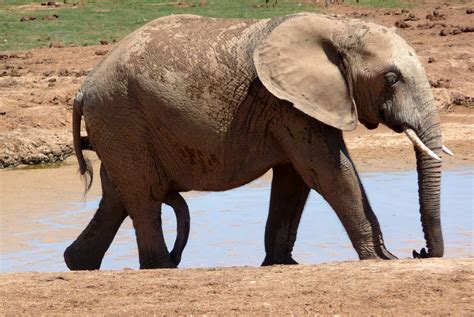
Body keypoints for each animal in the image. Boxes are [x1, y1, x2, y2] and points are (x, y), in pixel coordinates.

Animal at [67, 12, 452, 270]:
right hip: (122, 117)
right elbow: (328, 173)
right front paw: (384, 259)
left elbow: (295, 181)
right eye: (391, 78)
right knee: (143, 196)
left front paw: (282, 264)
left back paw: (78, 263)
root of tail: (84, 88)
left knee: (118, 195)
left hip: (119, 127)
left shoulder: (291, 105)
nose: (420, 252)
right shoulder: (287, 103)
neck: (338, 26)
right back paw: (161, 267)